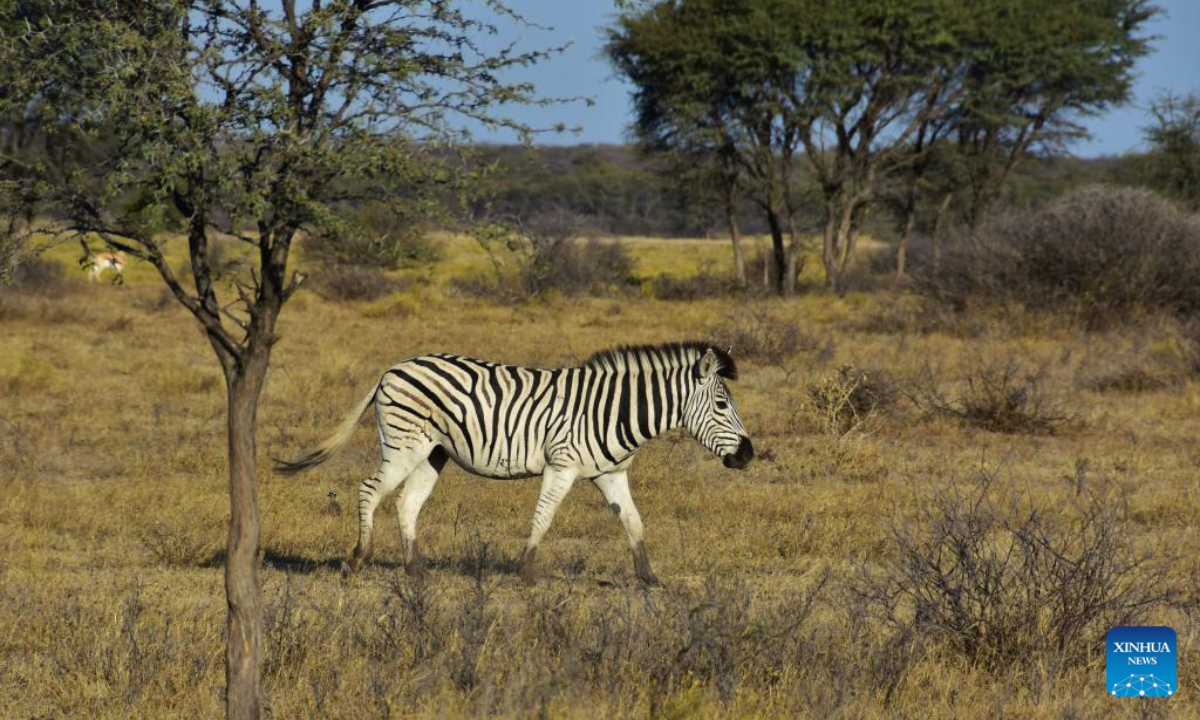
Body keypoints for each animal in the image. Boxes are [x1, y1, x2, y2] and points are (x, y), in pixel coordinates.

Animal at [275, 341, 753, 586]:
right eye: (721, 404)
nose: (748, 455)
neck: (614, 409)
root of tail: (393, 367)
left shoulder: (610, 473)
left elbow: (634, 521)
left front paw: (649, 578)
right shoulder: (562, 464)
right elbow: (543, 517)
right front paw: (525, 572)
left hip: (433, 452)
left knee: (406, 502)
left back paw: (416, 570)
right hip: (404, 443)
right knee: (370, 490)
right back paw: (357, 560)